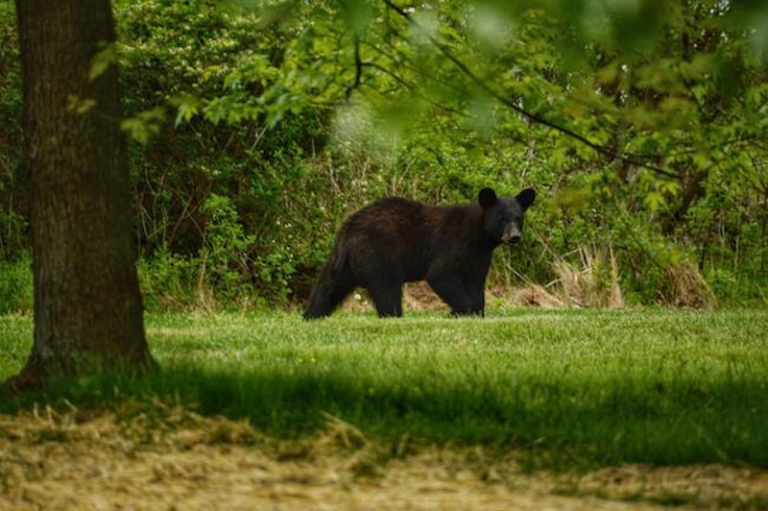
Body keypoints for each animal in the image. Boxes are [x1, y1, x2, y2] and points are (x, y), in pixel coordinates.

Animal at [304, 186, 536, 318]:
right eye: (502, 219)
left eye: (518, 218)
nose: (514, 236)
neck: (479, 237)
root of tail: (350, 227)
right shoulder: (453, 244)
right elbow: (441, 275)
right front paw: (462, 311)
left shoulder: (479, 258)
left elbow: (476, 284)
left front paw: (476, 311)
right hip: (377, 253)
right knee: (387, 288)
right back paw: (394, 315)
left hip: (345, 261)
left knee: (329, 285)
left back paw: (312, 314)